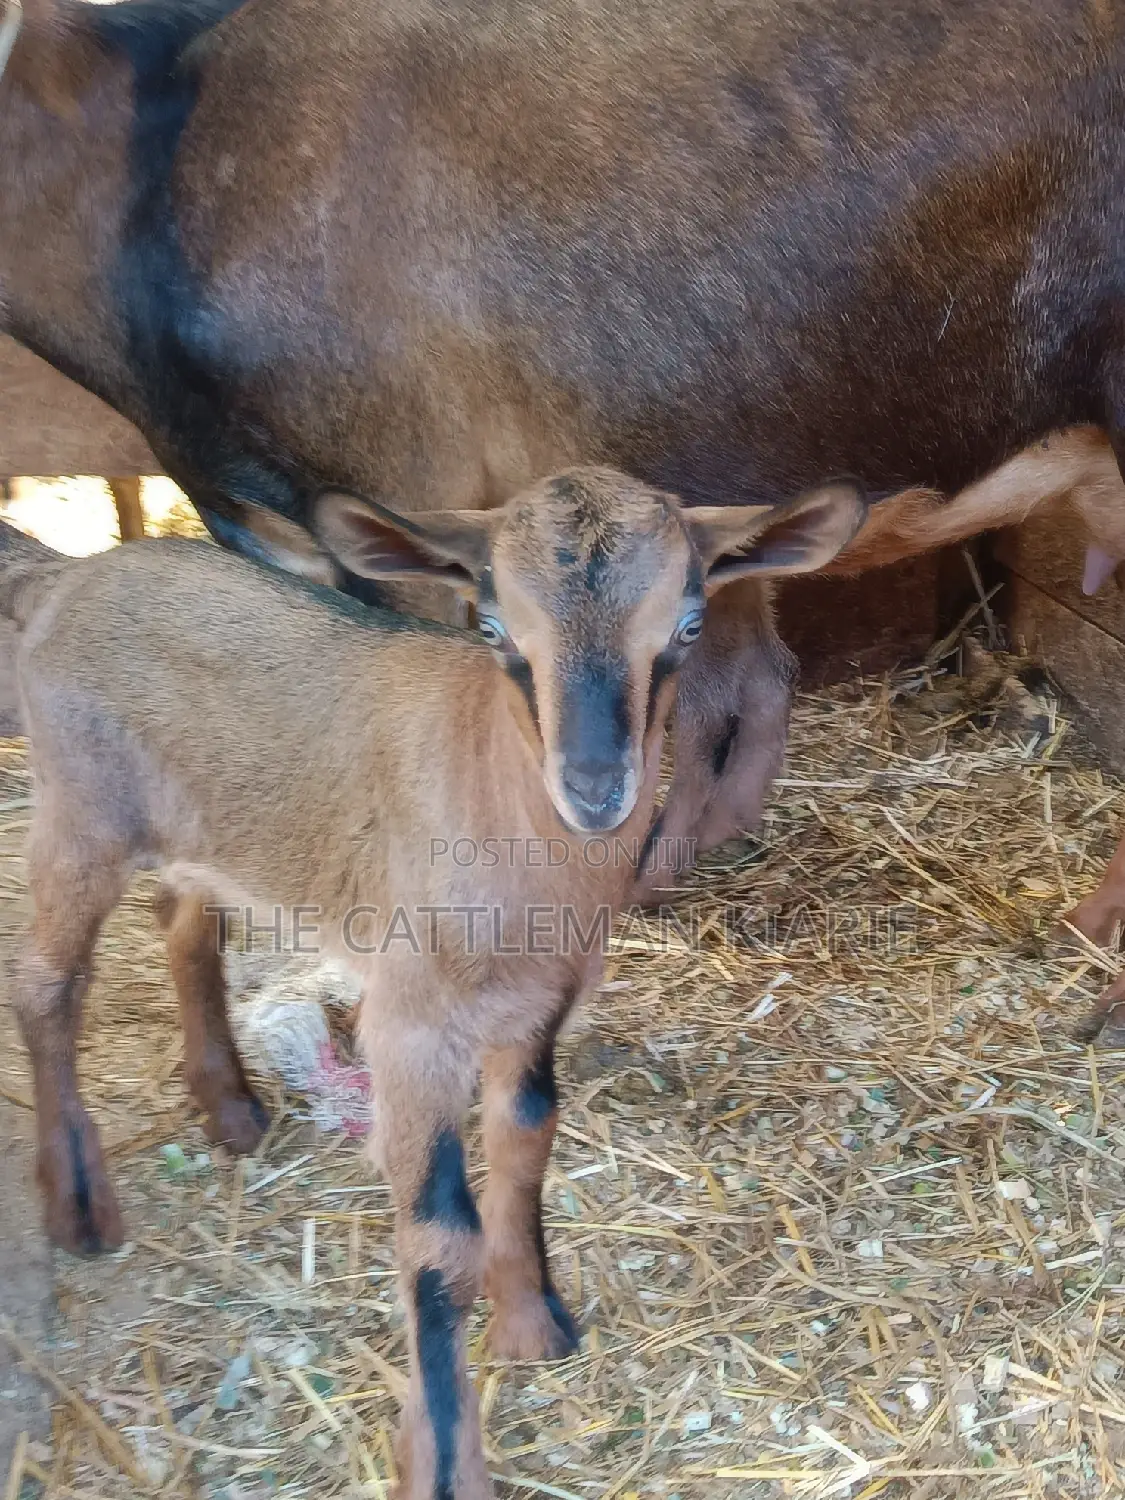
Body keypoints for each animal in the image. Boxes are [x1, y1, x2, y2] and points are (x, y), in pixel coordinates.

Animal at [0, 470, 864, 1498]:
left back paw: (231, 1108)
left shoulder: (535, 1006)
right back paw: (78, 1205)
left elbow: (525, 1138)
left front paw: (531, 1323)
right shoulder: (408, 1020)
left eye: (688, 625)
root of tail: (68, 579)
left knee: (181, 929)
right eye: (491, 626)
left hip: (204, 833)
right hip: (79, 808)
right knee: (47, 981)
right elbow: (439, 1237)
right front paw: (445, 1461)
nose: (594, 787)